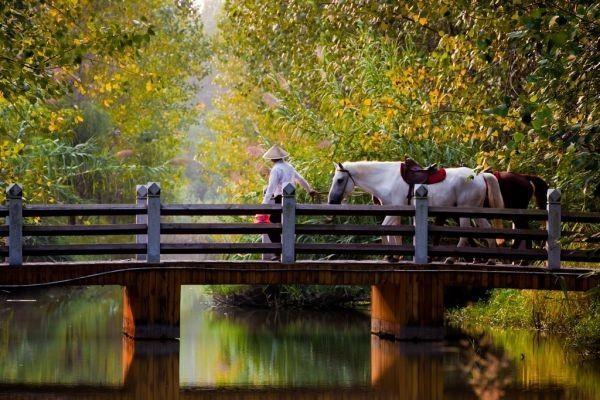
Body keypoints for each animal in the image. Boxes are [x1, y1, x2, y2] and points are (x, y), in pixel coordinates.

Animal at [326, 161, 504, 258]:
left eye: (340, 180)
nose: (331, 201)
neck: (386, 179)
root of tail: (480, 175)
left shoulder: (395, 210)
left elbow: (385, 228)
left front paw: (390, 255)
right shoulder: (396, 211)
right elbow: (393, 232)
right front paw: (395, 255)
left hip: (464, 211)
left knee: (465, 232)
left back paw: (452, 258)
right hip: (476, 210)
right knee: (486, 228)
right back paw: (491, 258)